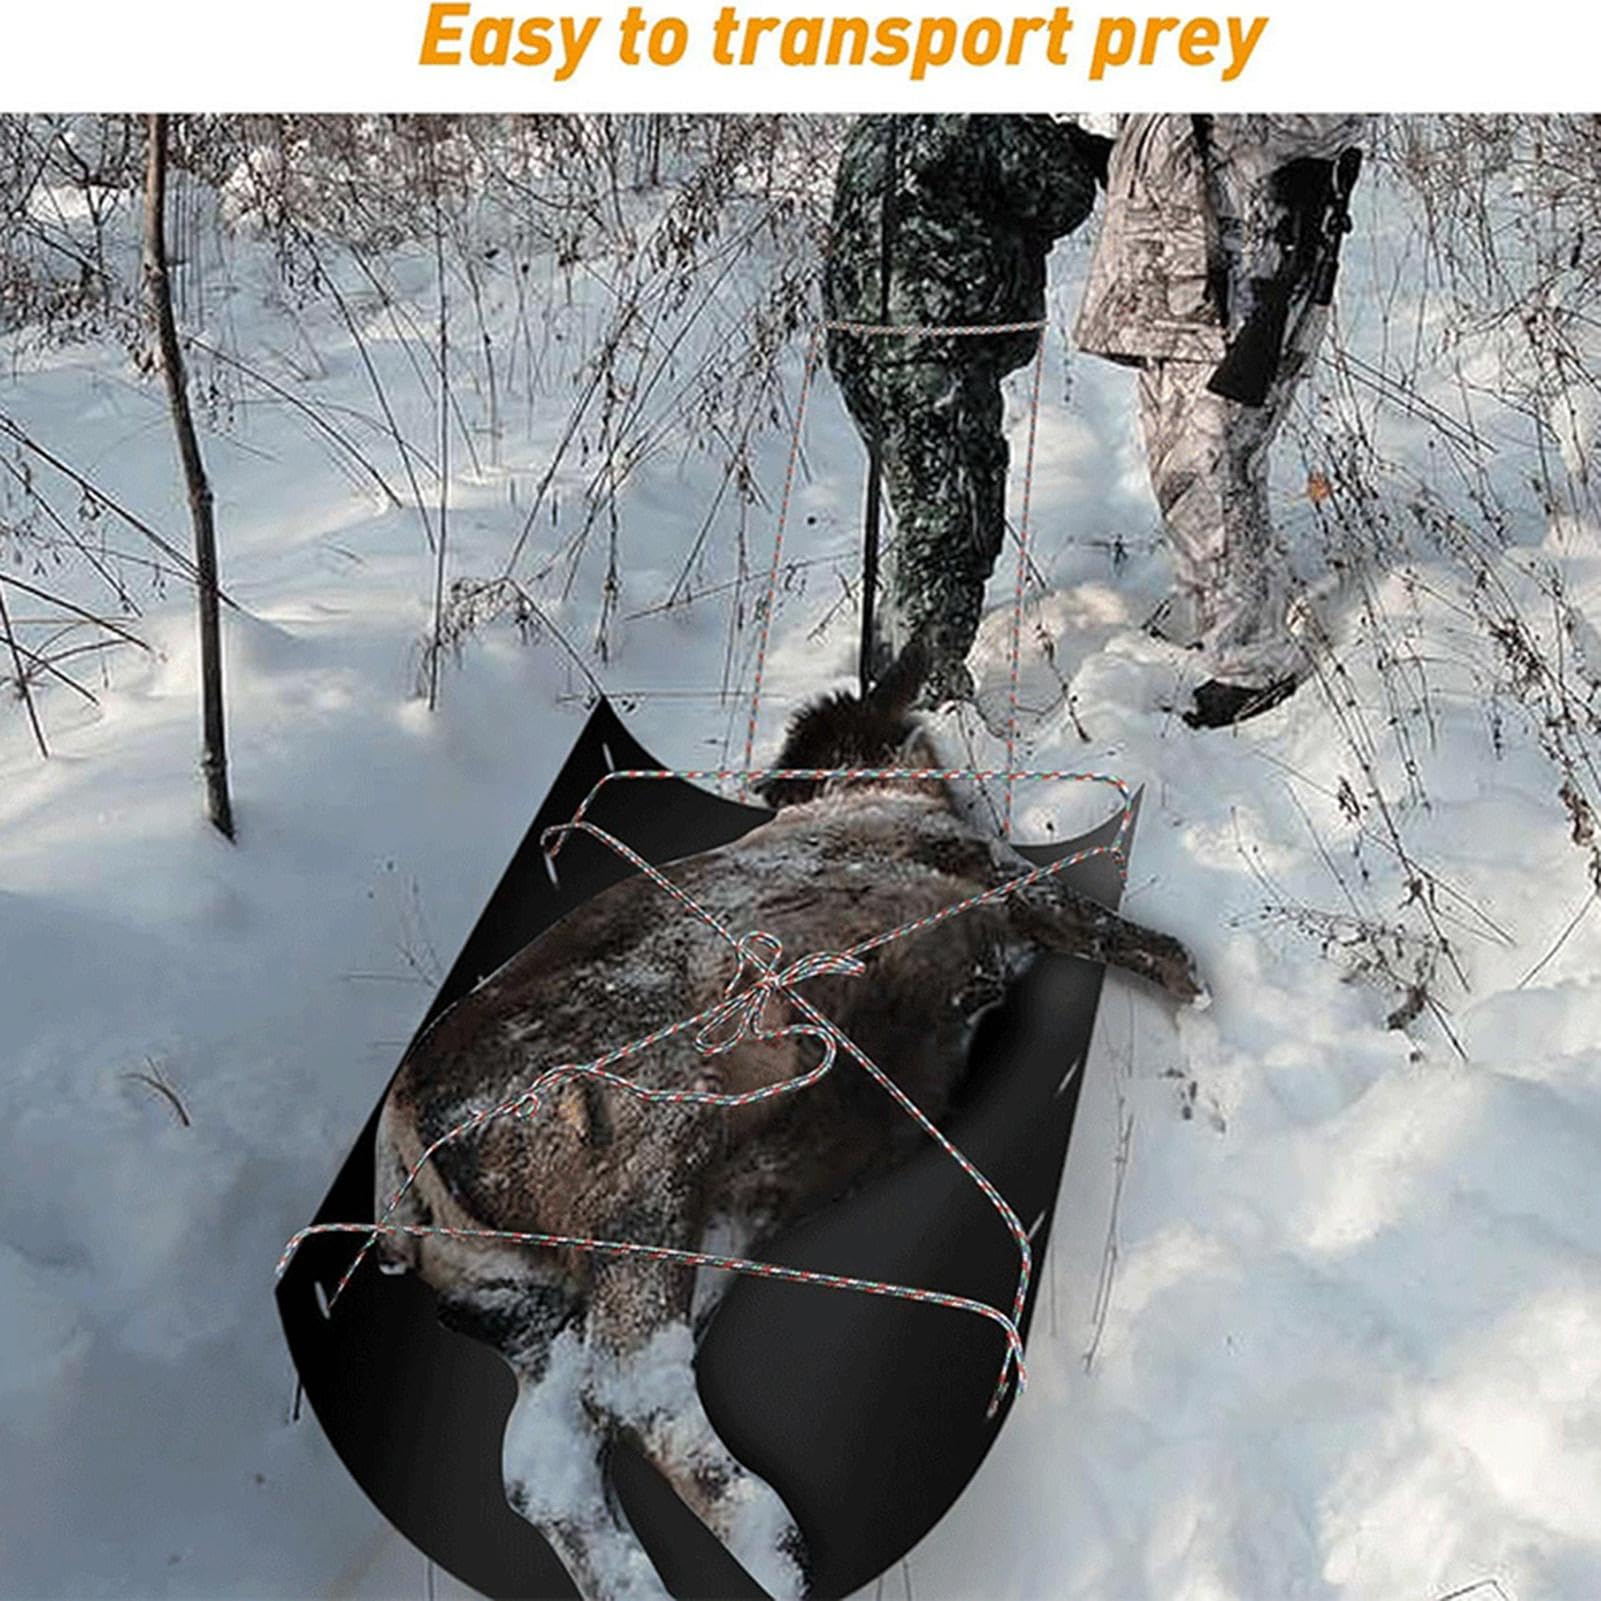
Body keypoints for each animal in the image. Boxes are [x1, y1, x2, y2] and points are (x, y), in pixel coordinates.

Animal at [371, 638, 1203, 1600]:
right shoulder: (999, 882)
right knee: (628, 1381)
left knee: (544, 1455)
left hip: (635, 1264)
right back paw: (780, 1544)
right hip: (647, 1178)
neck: (864, 788)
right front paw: (1200, 1014)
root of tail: (402, 1162)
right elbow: (1130, 937)